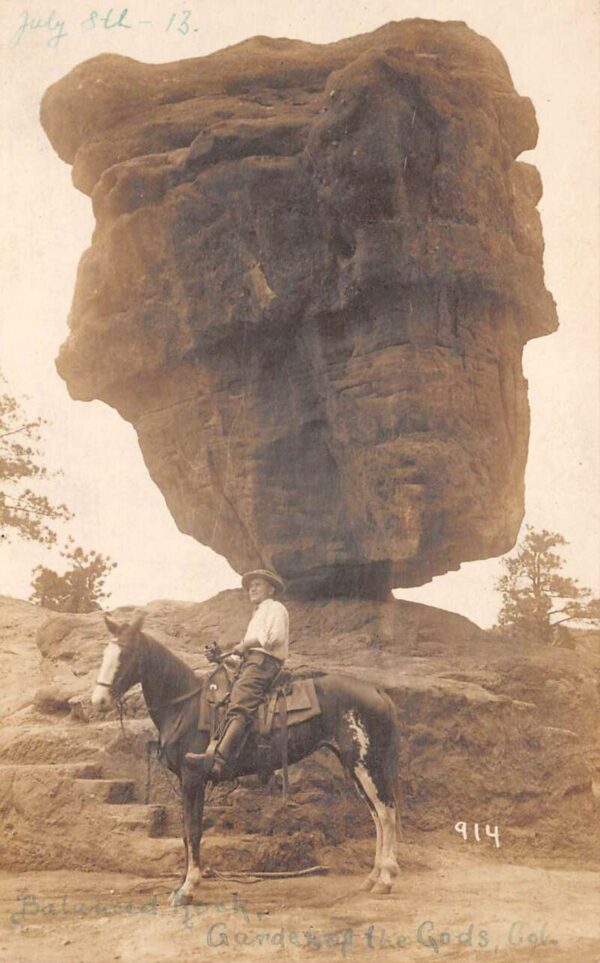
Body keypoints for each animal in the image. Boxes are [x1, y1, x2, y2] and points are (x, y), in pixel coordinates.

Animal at [91, 616, 400, 904]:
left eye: (126, 654)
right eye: (106, 652)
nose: (99, 700)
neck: (184, 706)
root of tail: (377, 691)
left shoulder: (193, 777)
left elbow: (193, 830)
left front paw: (188, 888)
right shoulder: (186, 781)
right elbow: (185, 833)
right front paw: (181, 883)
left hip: (366, 764)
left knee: (385, 814)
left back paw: (385, 879)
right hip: (355, 766)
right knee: (377, 815)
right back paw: (373, 877)